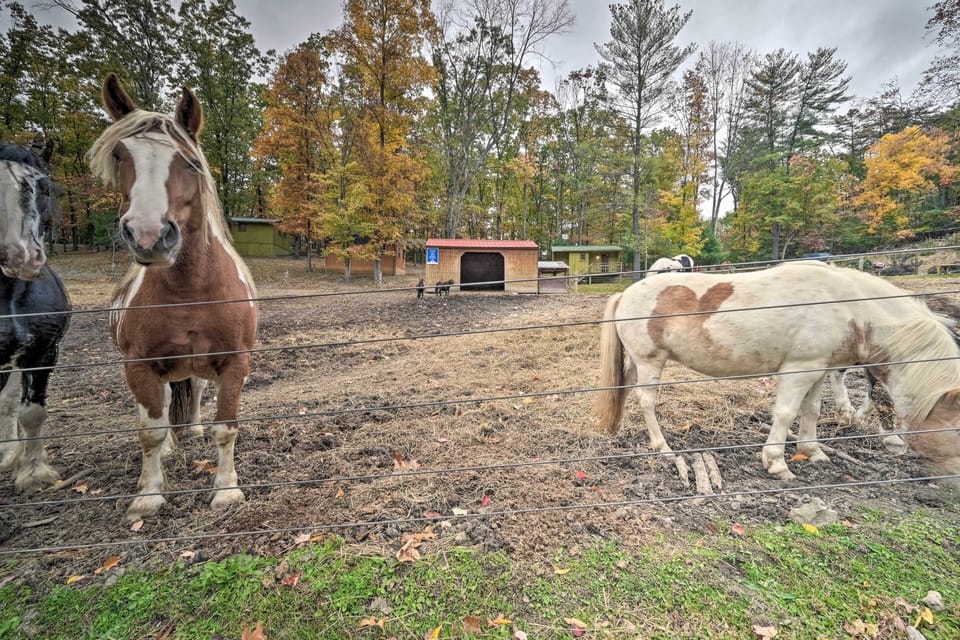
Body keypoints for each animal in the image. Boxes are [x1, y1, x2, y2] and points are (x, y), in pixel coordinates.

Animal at [89, 73, 258, 521]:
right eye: (119, 155)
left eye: (191, 162)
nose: (149, 235)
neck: (188, 292)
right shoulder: (139, 364)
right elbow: (149, 431)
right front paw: (148, 495)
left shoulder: (235, 361)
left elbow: (226, 427)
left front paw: (226, 490)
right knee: (161, 407)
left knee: (192, 390)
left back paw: (193, 429)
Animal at [591, 261, 960, 481]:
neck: (849, 306)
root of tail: (626, 292)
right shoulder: (798, 370)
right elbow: (785, 413)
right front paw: (777, 462)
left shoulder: (818, 368)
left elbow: (811, 410)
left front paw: (813, 452)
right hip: (651, 361)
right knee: (647, 401)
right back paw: (662, 447)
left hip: (638, 362)